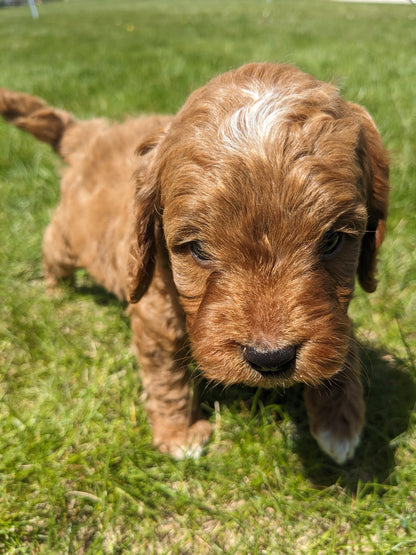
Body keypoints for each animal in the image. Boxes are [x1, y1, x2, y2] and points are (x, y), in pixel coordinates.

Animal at [0, 63, 390, 464]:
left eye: (331, 240)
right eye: (198, 249)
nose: (270, 359)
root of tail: (88, 134)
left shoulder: (334, 311)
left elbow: (342, 342)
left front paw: (338, 424)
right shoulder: (156, 311)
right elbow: (167, 376)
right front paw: (179, 434)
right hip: (68, 238)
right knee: (52, 248)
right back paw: (54, 292)